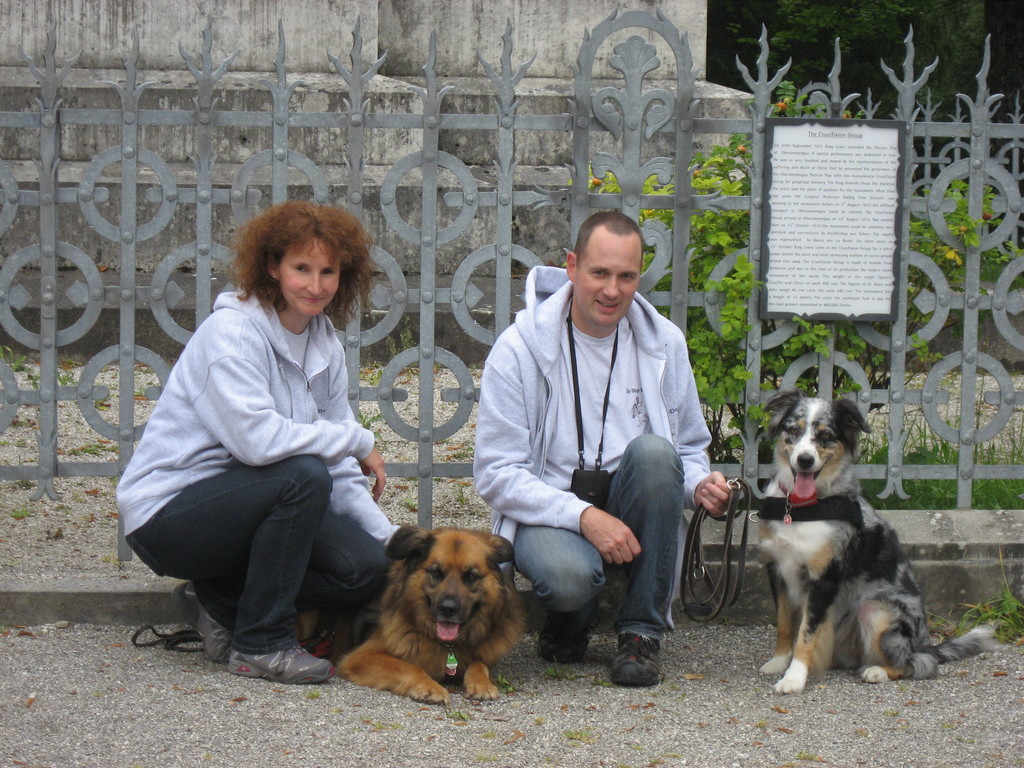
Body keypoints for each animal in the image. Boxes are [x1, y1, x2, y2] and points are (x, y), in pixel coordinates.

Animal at [337, 528, 524, 708]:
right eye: (436, 572)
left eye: (471, 576)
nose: (448, 609)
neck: (449, 645)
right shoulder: (362, 657)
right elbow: (408, 667)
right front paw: (430, 688)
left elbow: (478, 663)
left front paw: (482, 684)